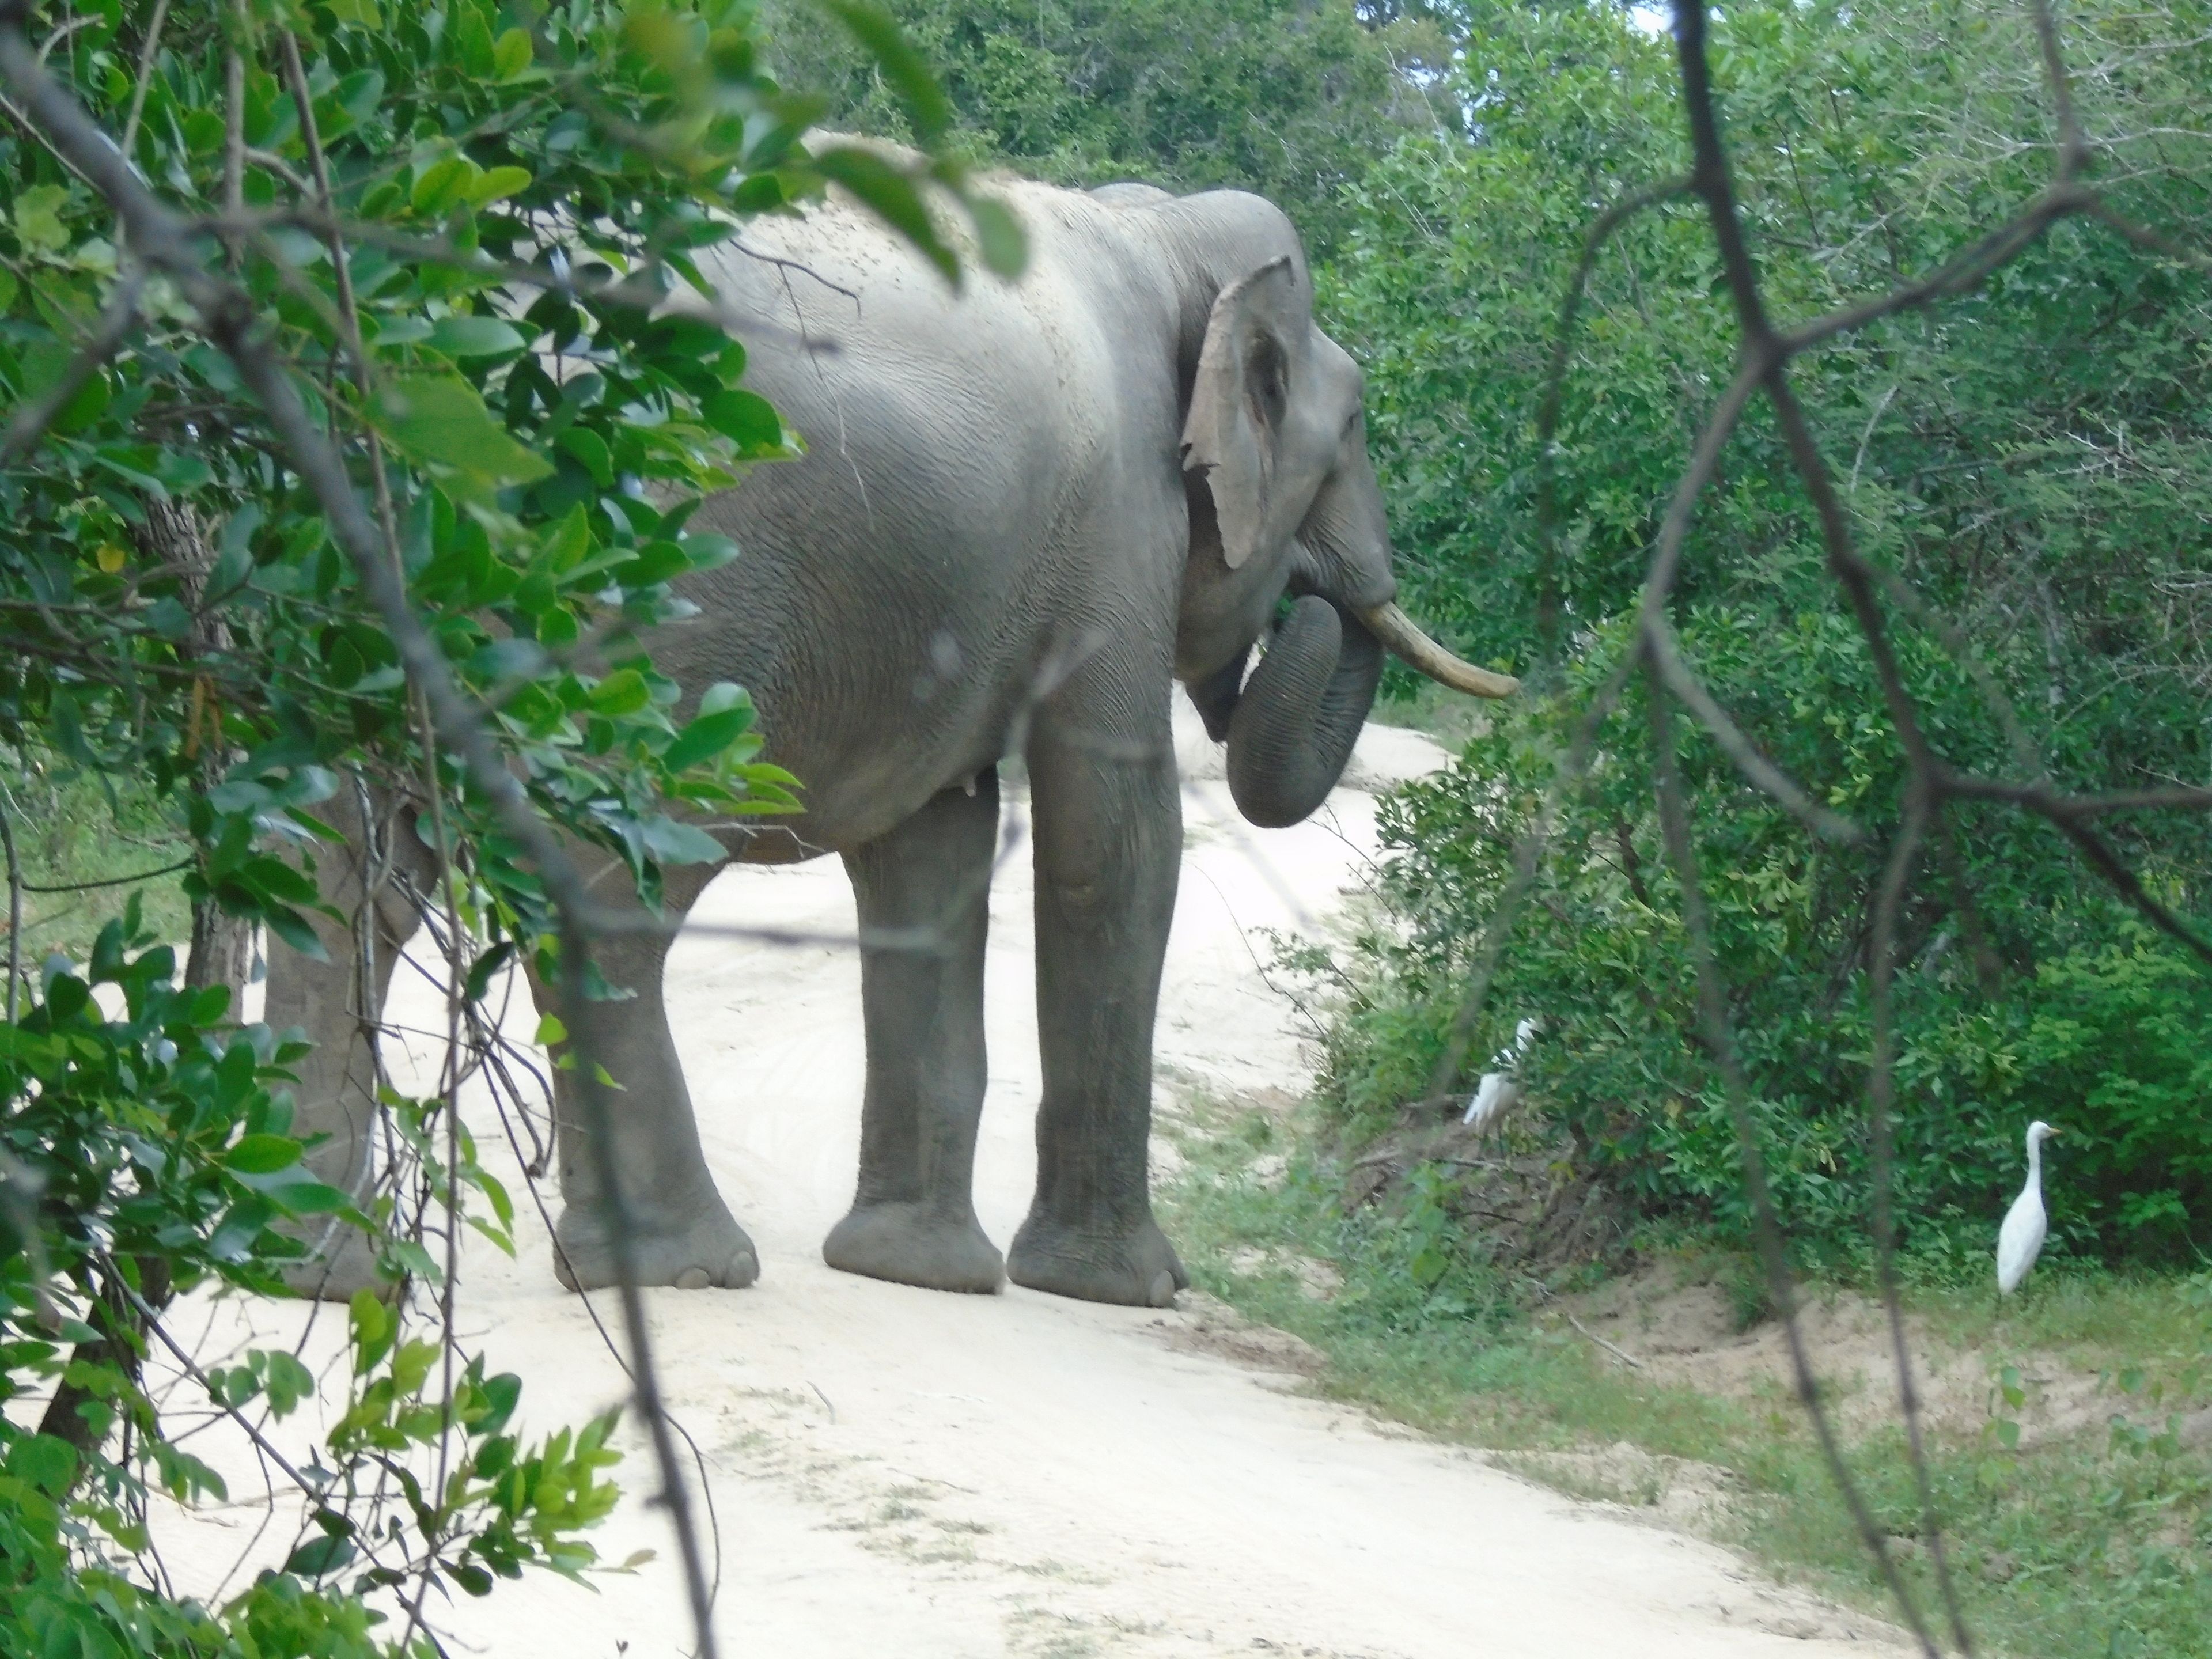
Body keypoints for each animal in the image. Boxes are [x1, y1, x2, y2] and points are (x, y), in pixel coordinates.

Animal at [270, 156, 1513, 1310]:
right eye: (1353, 428)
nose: (1314, 596)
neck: (1161, 233)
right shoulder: (1121, 528)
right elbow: (1111, 840)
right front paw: (1130, 1289)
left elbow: (933, 855)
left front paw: (919, 1272)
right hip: (628, 569)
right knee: (606, 875)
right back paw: (690, 1268)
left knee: (334, 859)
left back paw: (326, 1272)